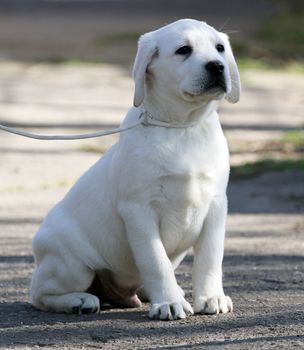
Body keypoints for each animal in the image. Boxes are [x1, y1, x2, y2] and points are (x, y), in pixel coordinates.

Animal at [30, 18, 240, 320]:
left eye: (220, 48)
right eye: (183, 50)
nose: (217, 66)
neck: (181, 127)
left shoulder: (216, 205)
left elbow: (210, 258)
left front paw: (211, 297)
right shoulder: (138, 210)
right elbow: (155, 260)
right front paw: (169, 303)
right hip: (71, 265)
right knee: (39, 293)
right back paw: (79, 300)